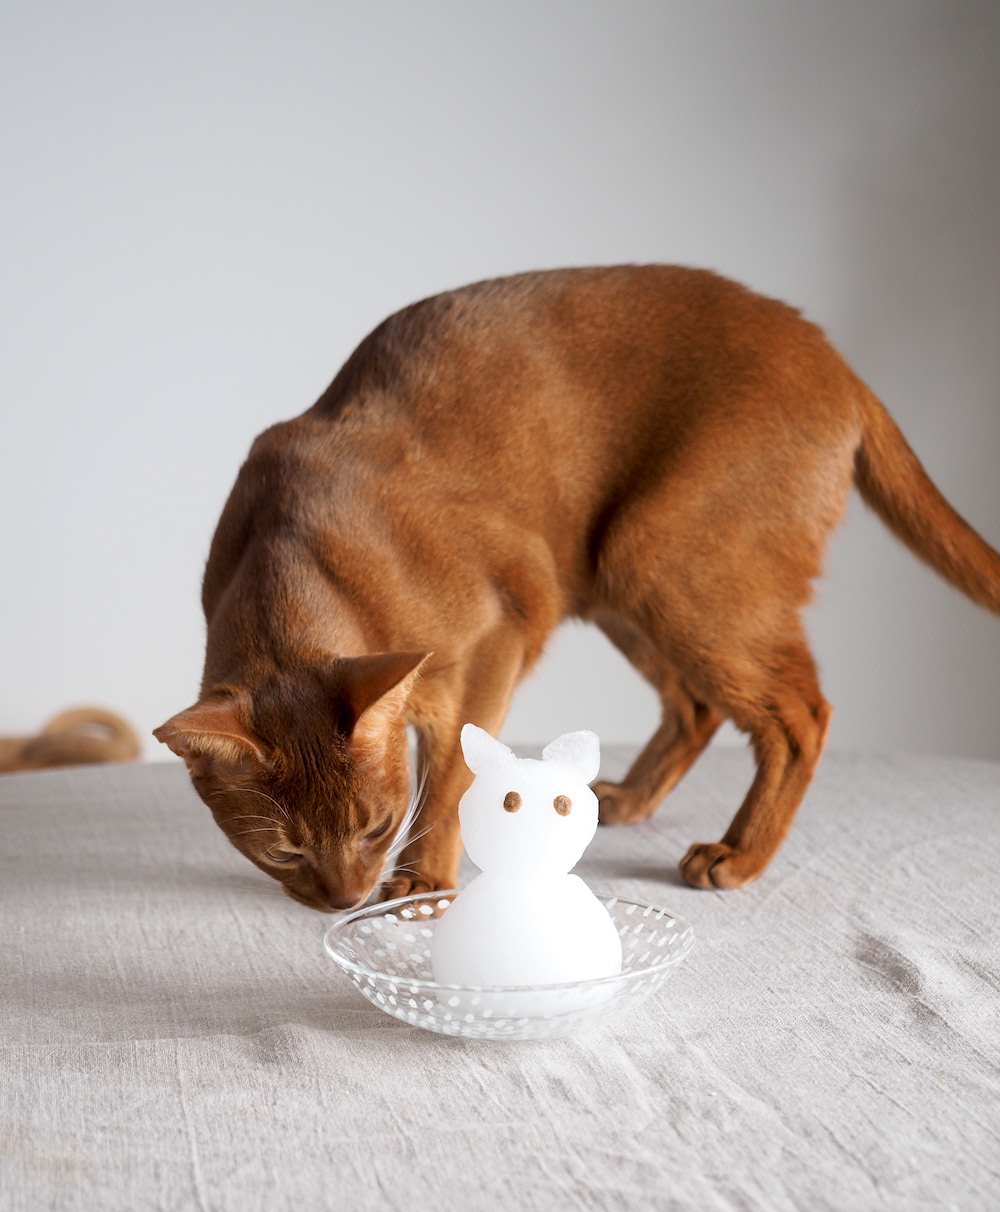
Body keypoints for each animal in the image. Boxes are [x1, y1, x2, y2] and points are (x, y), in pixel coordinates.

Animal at [153, 265, 1000, 912]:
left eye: (375, 827)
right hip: (619, 581)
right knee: (696, 705)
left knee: (800, 716)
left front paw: (424, 880)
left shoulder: (503, 630)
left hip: (662, 561)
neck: (299, 546)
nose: (346, 901)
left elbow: (453, 776)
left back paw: (737, 855)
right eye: (283, 852)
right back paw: (627, 800)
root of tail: (840, 364)